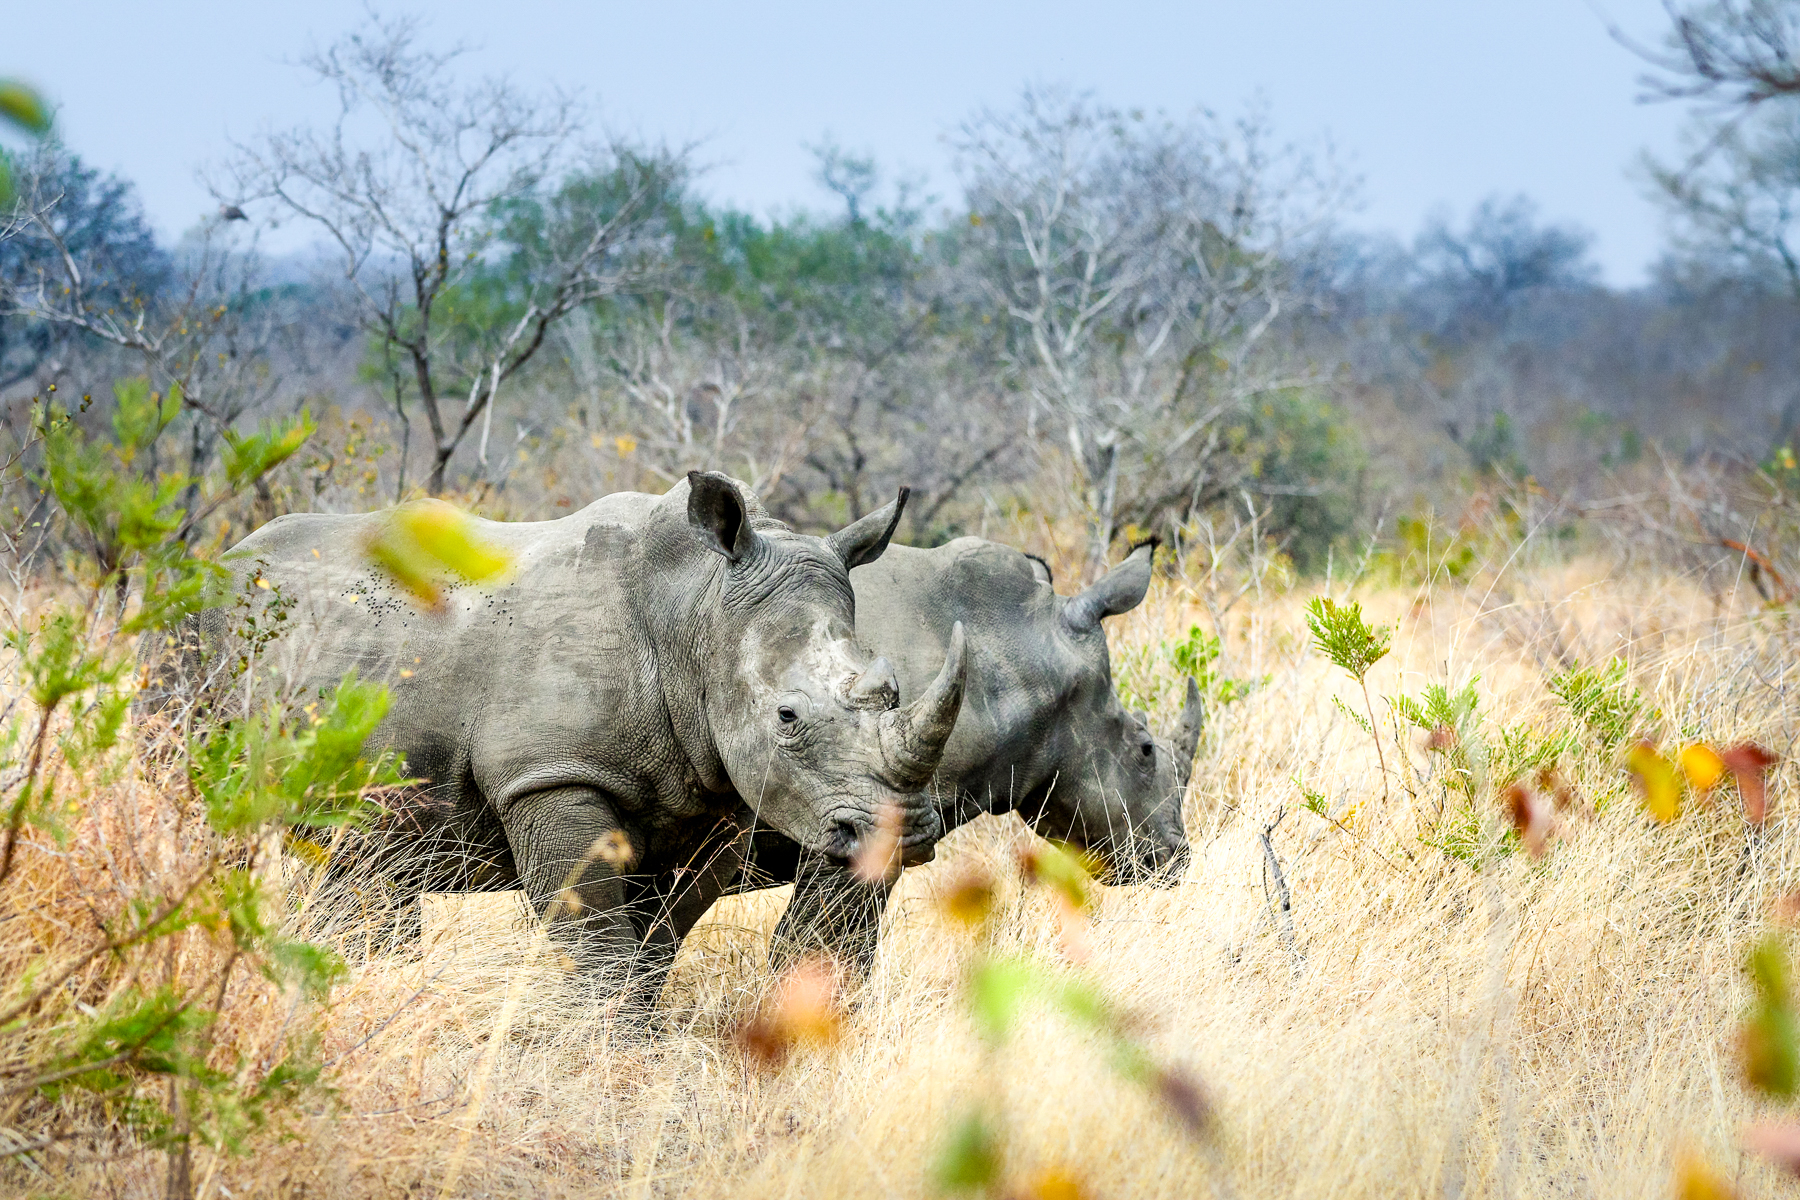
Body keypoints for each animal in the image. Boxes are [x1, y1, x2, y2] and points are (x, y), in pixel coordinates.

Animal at [148, 472, 969, 1005]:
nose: (904, 831)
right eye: (787, 718)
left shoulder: (711, 795)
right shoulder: (553, 771)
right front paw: (608, 1064)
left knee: (370, 857)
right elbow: (599, 946)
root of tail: (217, 561)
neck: (697, 611)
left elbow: (652, 946)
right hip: (187, 639)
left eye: (893, 691)